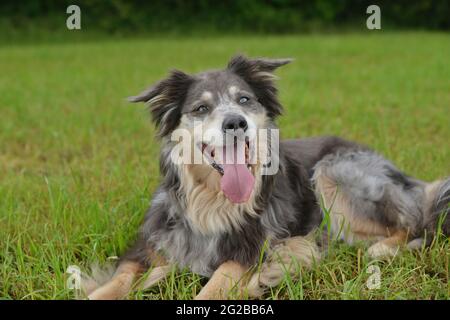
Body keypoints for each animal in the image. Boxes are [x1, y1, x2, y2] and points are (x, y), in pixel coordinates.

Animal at [81, 55, 450, 300]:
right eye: (201, 108)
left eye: (244, 99)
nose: (236, 122)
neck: (210, 201)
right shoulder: (150, 244)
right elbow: (117, 280)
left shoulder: (251, 249)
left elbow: (217, 284)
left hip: (334, 170)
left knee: (414, 224)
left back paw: (381, 249)